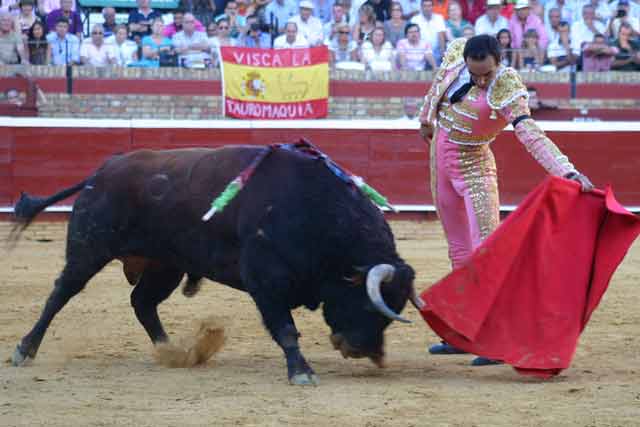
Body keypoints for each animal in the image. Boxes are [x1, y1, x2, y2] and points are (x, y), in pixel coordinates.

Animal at [8, 145, 424, 386]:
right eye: (369, 304)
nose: (364, 350)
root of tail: (99, 173)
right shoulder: (265, 280)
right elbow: (286, 329)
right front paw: (301, 372)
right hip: (88, 248)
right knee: (60, 294)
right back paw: (24, 350)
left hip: (165, 265)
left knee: (142, 302)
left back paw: (172, 352)